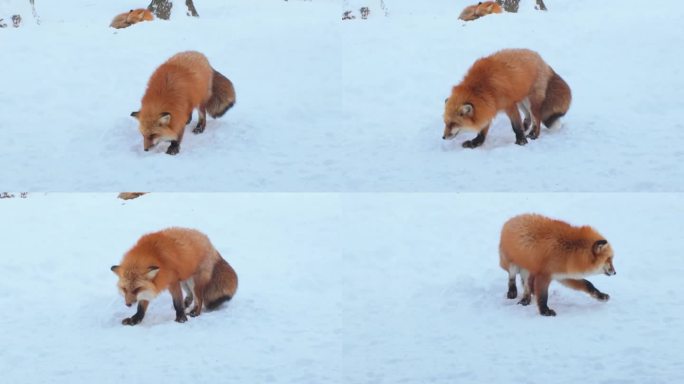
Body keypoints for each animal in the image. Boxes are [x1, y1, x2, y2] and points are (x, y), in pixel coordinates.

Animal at [111, 226, 239, 326]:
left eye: (136, 289)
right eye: (124, 289)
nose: (128, 304)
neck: (155, 256)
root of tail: (210, 243)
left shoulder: (172, 281)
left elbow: (177, 302)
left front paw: (181, 318)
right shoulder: (152, 286)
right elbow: (141, 308)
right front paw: (135, 319)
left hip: (194, 282)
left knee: (199, 299)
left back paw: (195, 312)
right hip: (184, 279)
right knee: (191, 296)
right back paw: (187, 303)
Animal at [444, 48, 572, 148]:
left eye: (453, 123)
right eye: (445, 123)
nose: (443, 137)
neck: (483, 88)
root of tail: (542, 60)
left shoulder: (509, 105)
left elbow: (516, 126)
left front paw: (521, 141)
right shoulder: (489, 107)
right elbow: (482, 132)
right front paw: (475, 143)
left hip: (531, 102)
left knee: (537, 119)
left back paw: (533, 135)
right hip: (521, 100)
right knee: (528, 117)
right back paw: (526, 127)